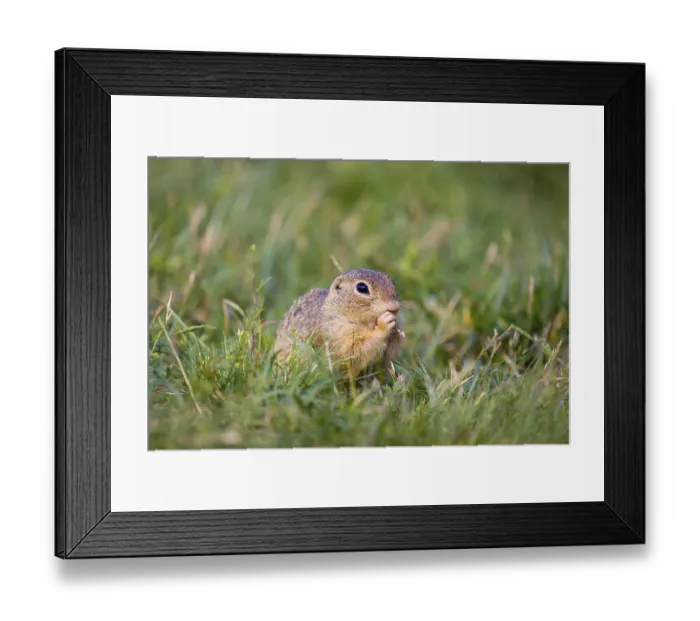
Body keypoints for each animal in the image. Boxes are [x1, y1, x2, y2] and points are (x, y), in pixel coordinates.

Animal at [273, 268, 405, 379]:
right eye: (362, 288)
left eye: (392, 282)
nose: (394, 307)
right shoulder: (338, 334)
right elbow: (354, 350)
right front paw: (384, 324)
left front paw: (397, 332)